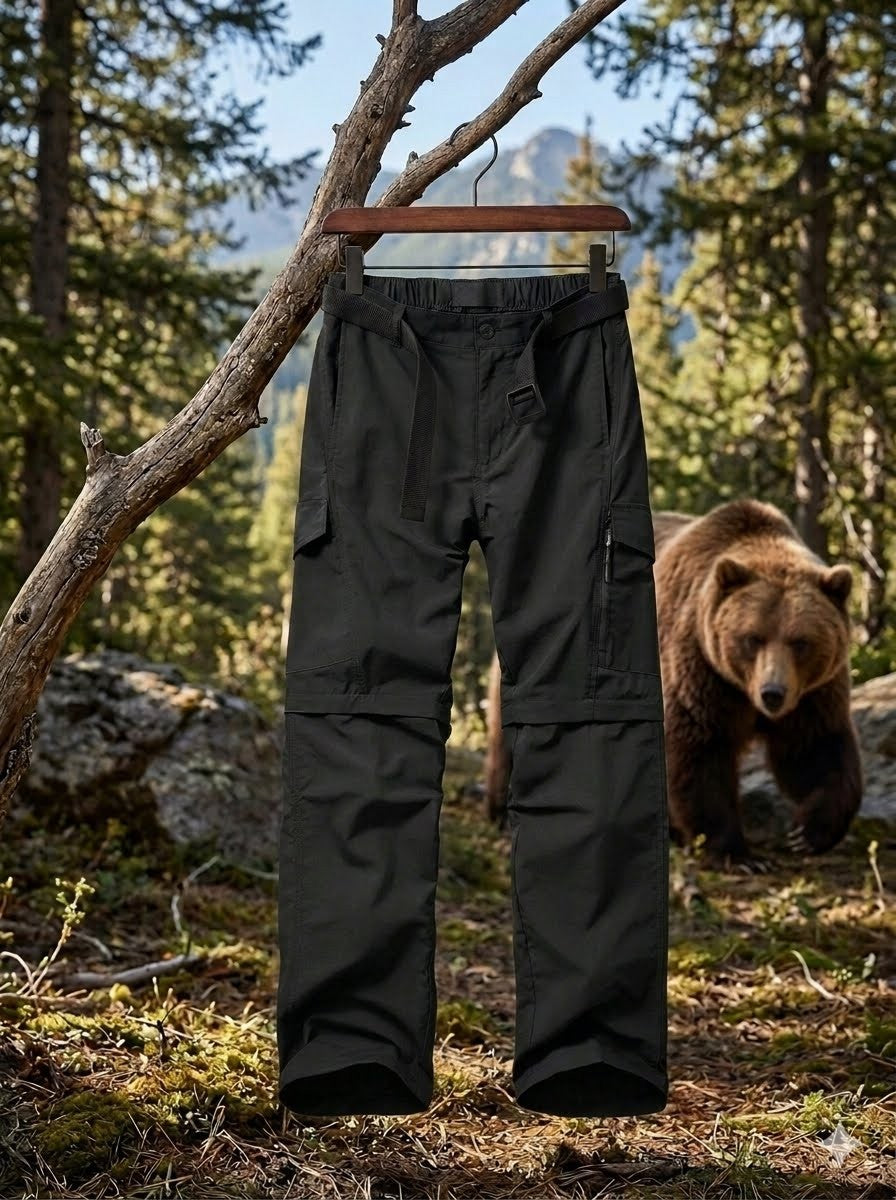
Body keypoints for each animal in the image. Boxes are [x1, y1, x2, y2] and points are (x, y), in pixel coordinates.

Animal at [484, 498, 863, 869]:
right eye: (753, 638)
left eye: (800, 642)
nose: (772, 694)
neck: (741, 690)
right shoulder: (698, 669)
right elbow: (700, 751)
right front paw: (736, 853)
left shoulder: (811, 693)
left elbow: (814, 749)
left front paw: (808, 831)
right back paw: (504, 812)